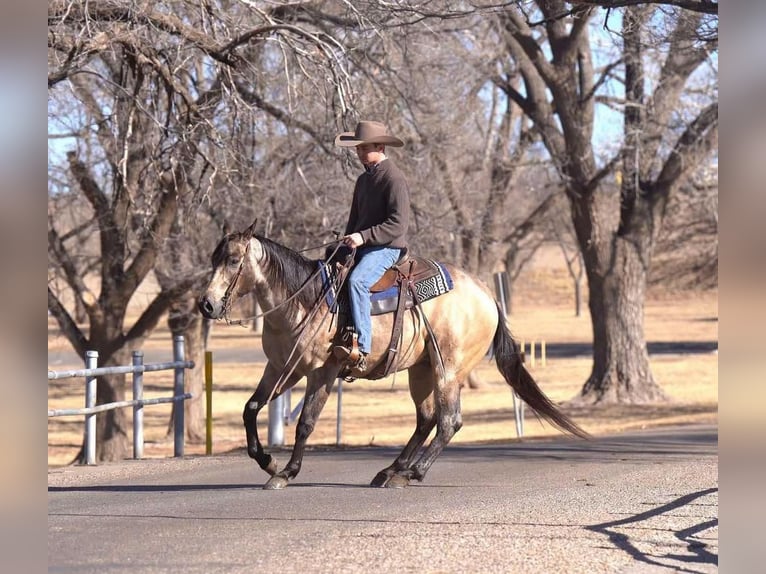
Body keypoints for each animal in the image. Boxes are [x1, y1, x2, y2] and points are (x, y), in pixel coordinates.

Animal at [196, 220, 588, 490]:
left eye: (233, 260)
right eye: (213, 258)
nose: (206, 304)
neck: (302, 301)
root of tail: (487, 295)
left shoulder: (323, 372)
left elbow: (306, 422)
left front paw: (286, 472)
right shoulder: (282, 367)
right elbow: (251, 407)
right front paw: (265, 460)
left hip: (449, 370)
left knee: (449, 421)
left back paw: (411, 473)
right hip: (422, 369)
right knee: (426, 419)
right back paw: (391, 470)